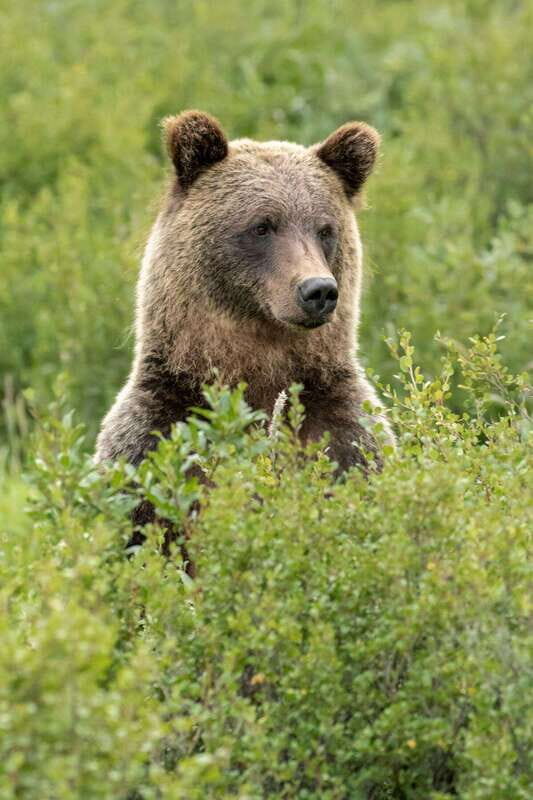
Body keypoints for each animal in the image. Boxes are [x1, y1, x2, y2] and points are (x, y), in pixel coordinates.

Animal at [95, 110, 394, 480]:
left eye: (325, 230)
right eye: (262, 226)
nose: (318, 289)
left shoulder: (344, 426)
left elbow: (356, 454)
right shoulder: (157, 429)